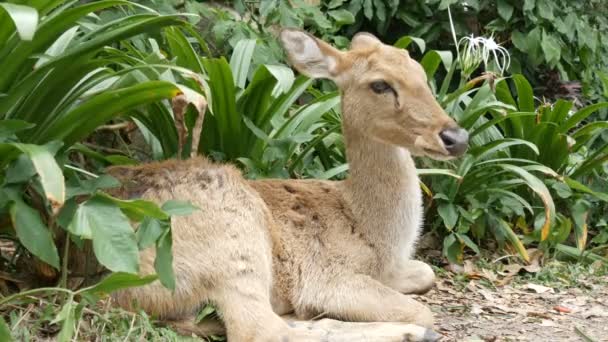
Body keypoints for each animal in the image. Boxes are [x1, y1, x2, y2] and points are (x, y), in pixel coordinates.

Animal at [108, 29, 470, 342]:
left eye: (422, 74)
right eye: (380, 84)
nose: (456, 137)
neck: (373, 234)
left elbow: (427, 271)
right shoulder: (326, 276)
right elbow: (421, 311)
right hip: (235, 243)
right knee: (258, 331)